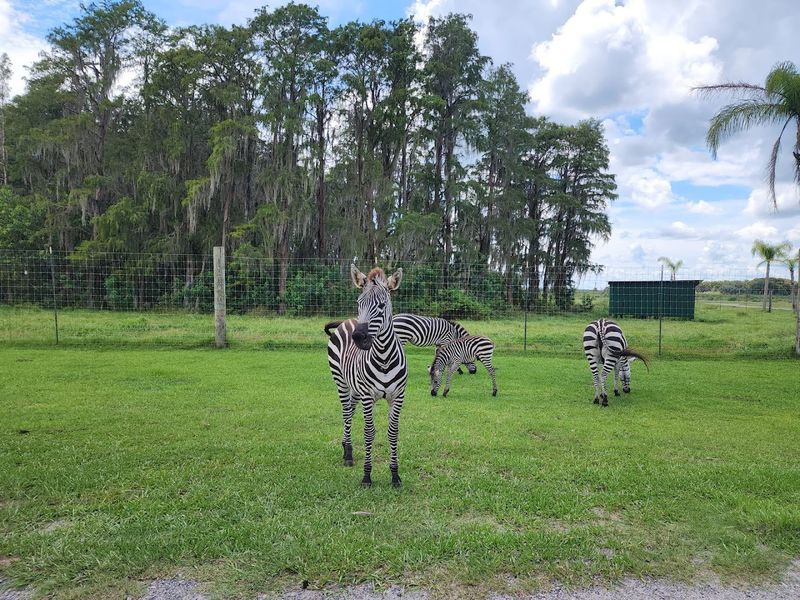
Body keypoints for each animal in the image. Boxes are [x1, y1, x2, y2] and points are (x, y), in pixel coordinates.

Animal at [326, 265, 408, 487]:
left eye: (381, 305)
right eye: (358, 303)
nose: (358, 337)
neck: (384, 358)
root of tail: (346, 321)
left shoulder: (398, 397)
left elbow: (393, 433)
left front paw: (395, 476)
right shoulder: (368, 397)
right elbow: (369, 432)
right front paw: (367, 476)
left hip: (355, 390)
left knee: (351, 412)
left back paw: (346, 447)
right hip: (341, 382)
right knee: (346, 413)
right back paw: (347, 454)